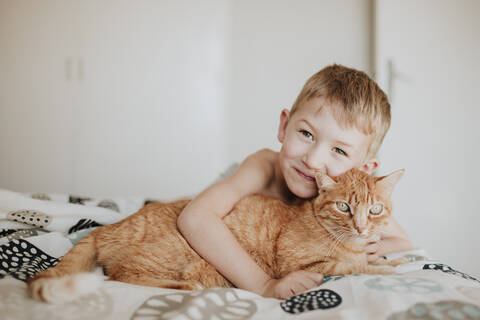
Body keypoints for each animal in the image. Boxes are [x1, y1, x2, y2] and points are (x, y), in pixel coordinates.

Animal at [29, 168, 404, 302]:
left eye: (374, 210)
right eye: (343, 206)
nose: (361, 227)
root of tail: (109, 226)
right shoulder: (305, 264)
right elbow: (357, 267)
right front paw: (390, 268)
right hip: (173, 256)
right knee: (121, 275)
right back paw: (182, 286)